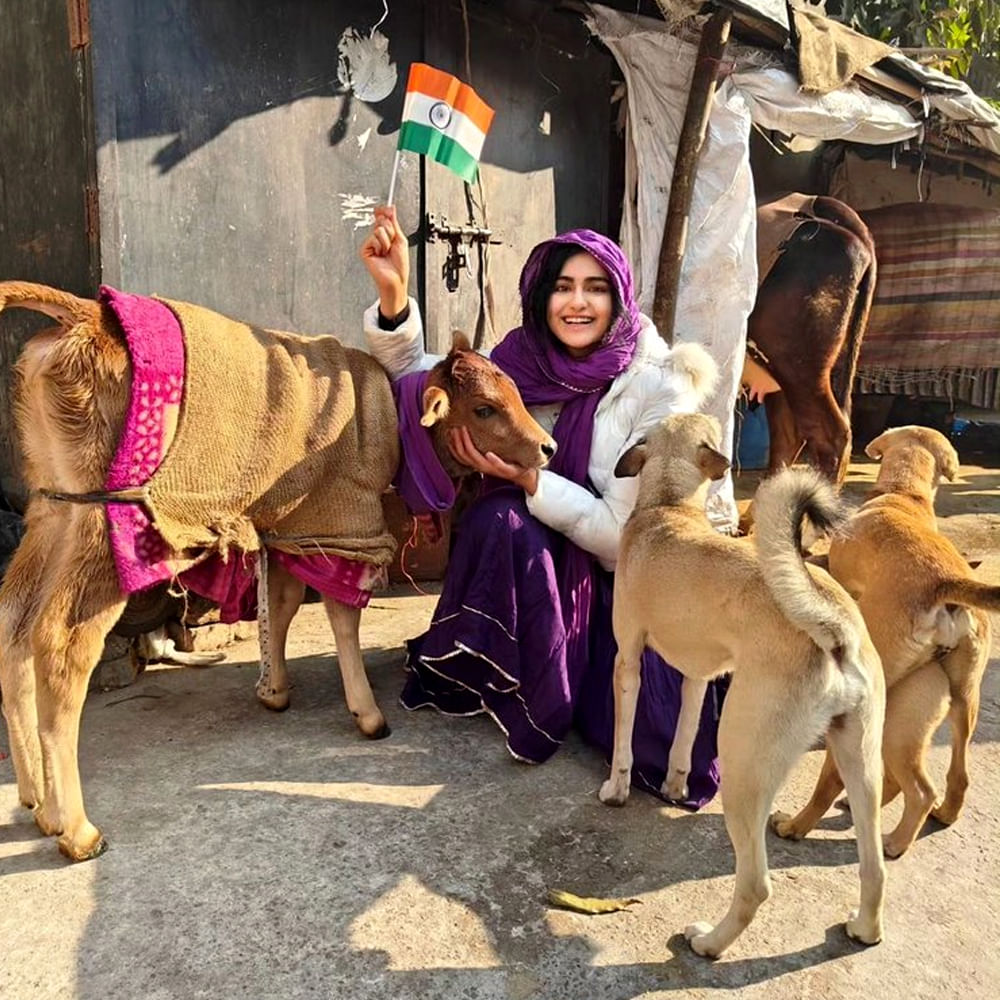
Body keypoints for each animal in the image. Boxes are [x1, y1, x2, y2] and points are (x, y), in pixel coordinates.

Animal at [0, 282, 556, 860]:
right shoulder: (342, 519)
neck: (392, 423)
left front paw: (275, 689)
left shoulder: (289, 525)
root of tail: (86, 311)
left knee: (13, 623)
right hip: (108, 521)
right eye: (485, 408)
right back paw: (76, 828)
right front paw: (367, 713)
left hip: (53, 507)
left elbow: (284, 603)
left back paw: (37, 803)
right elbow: (341, 613)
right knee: (60, 645)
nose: (547, 446)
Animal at [592, 410, 884, 956]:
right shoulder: (698, 674)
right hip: (860, 762)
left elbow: (623, 743)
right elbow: (683, 737)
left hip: (744, 764)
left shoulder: (628, 661)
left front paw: (615, 791)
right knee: (874, 867)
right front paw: (674, 785)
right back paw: (865, 928)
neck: (668, 506)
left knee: (755, 884)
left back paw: (709, 942)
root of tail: (832, 626)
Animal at [768, 426, 996, 856]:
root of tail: (946, 586)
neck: (904, 494)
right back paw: (943, 814)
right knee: (957, 773)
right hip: (965, 696)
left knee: (841, 778)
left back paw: (798, 825)